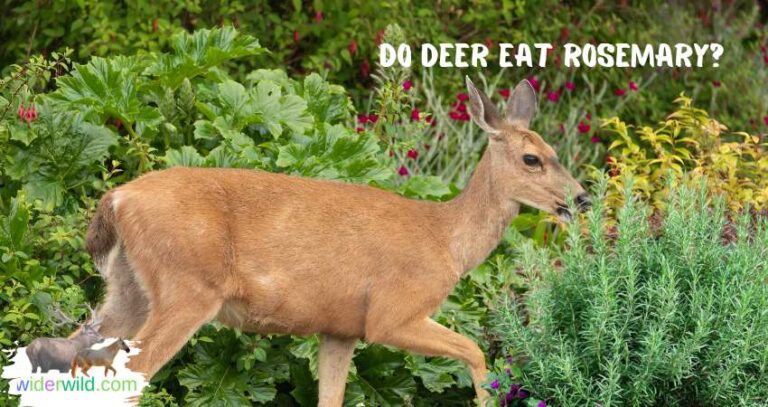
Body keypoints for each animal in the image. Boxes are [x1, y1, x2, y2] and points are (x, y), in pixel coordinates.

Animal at [84, 76, 589, 406]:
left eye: (556, 152)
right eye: (531, 159)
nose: (582, 199)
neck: (446, 239)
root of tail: (118, 198)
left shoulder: (340, 329)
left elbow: (332, 397)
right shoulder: (391, 313)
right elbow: (476, 351)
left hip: (128, 291)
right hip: (187, 288)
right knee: (130, 377)